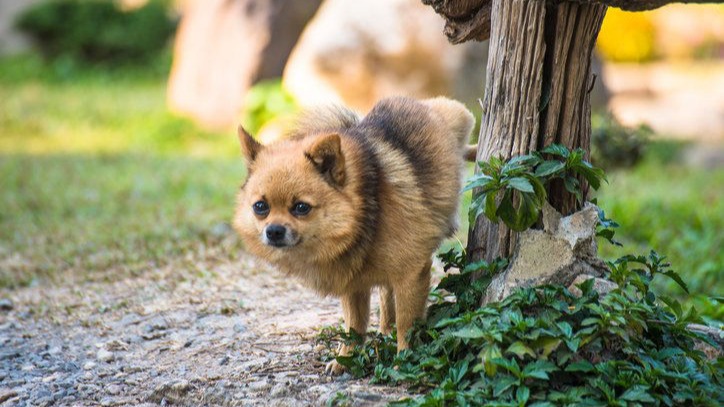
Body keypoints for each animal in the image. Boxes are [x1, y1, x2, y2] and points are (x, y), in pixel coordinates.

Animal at [233, 96, 476, 376]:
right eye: (260, 207)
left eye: (301, 207)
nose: (273, 231)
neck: (362, 219)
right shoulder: (354, 285)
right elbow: (355, 326)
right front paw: (345, 358)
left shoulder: (411, 275)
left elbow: (407, 324)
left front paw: (404, 360)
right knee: (386, 299)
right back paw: (385, 329)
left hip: (459, 115)